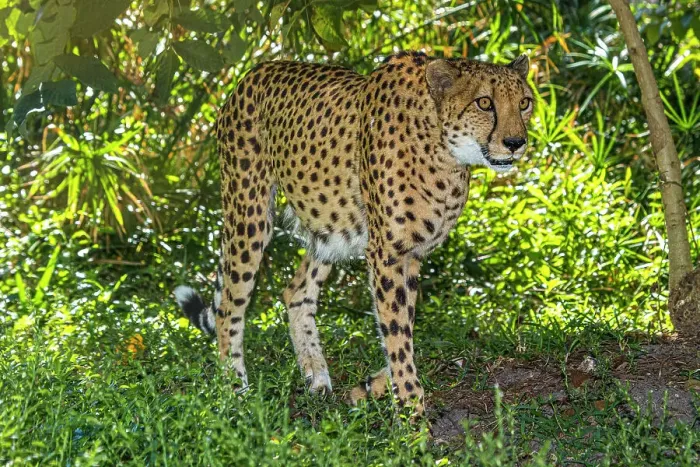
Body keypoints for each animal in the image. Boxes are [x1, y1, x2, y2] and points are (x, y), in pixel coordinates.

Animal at [174, 51, 534, 416]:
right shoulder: (387, 251)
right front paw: (410, 408)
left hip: (331, 226)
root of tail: (256, 70)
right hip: (250, 212)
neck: (443, 148)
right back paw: (234, 388)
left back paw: (315, 374)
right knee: (229, 306)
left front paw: (377, 385)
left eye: (525, 103)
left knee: (296, 292)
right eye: (484, 102)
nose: (516, 143)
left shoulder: (412, 253)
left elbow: (405, 322)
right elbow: (397, 330)